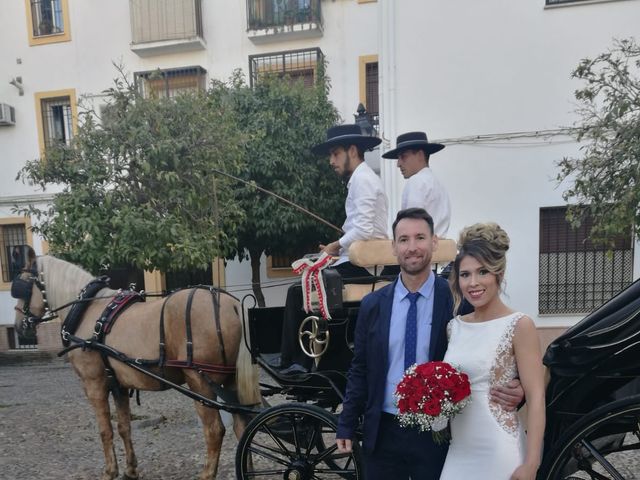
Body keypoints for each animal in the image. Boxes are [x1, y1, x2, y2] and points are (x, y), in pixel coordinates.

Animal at [11, 253, 260, 478]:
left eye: (22, 286)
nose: (19, 325)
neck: (87, 311)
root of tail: (233, 304)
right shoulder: (118, 385)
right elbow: (124, 427)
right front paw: (130, 470)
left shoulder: (94, 384)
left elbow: (105, 430)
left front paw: (110, 471)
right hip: (230, 381)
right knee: (243, 426)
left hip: (200, 381)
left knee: (215, 430)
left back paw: (207, 474)